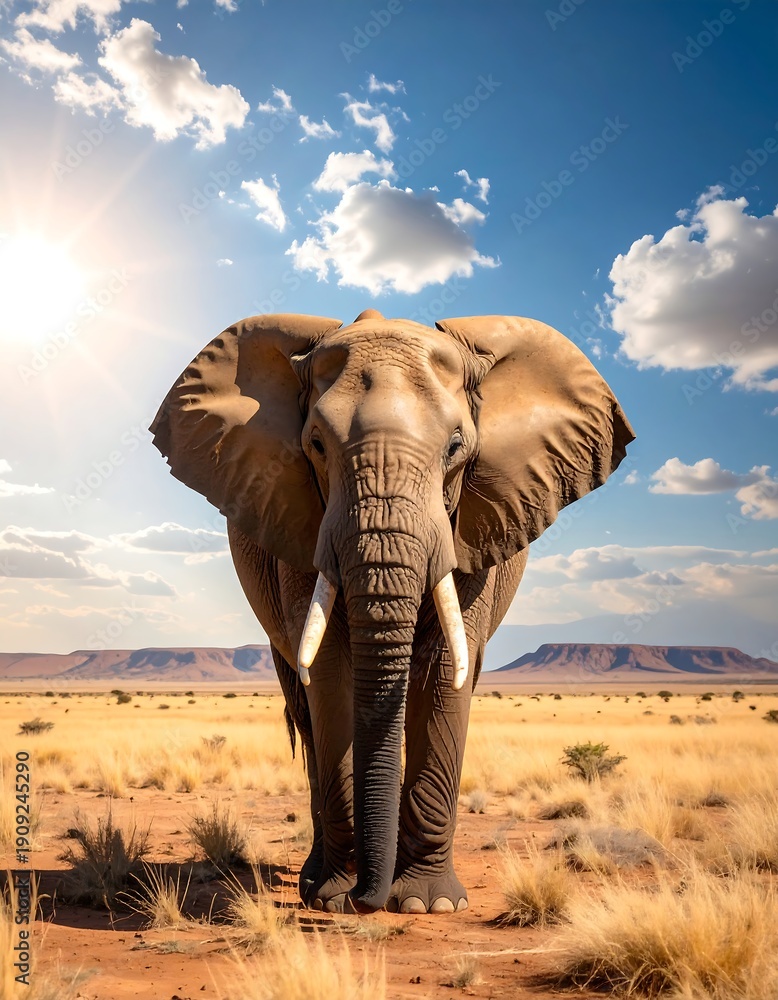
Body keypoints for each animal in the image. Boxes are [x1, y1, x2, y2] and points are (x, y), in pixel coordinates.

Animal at [150, 308, 634, 915]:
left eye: (456, 447)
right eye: (315, 445)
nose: (366, 899)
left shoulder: (472, 529)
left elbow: (443, 671)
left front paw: (430, 905)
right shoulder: (300, 524)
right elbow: (329, 671)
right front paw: (333, 898)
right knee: (306, 713)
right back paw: (316, 878)